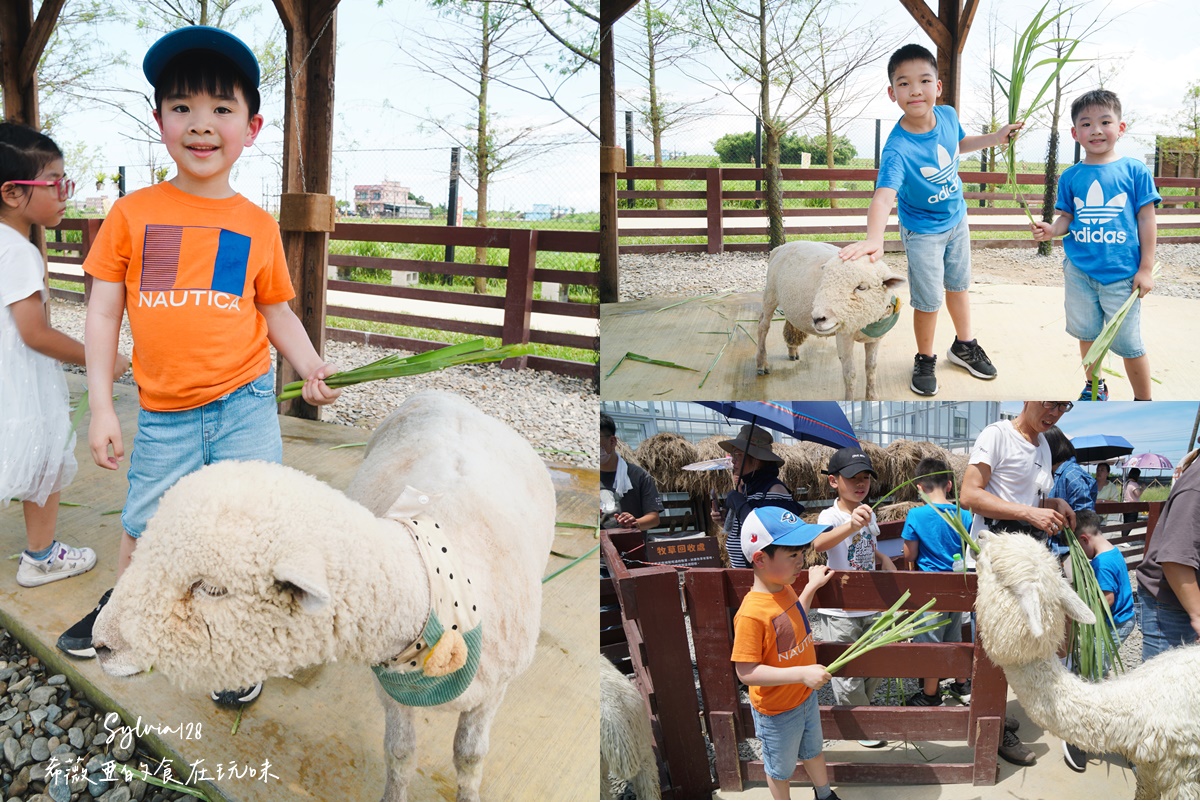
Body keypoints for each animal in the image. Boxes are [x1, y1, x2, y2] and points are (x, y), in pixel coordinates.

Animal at [93, 391, 556, 802]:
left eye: (211, 589)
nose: (101, 644)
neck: (434, 584)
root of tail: (444, 394)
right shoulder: (391, 689)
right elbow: (400, 753)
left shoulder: (492, 693)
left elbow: (470, 757)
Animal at [753, 240, 902, 398]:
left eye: (862, 287)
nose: (817, 318)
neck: (865, 324)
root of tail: (780, 247)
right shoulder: (844, 336)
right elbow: (850, 374)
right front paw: (850, 400)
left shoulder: (875, 339)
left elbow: (871, 368)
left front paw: (872, 397)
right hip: (770, 293)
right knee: (763, 325)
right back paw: (761, 363)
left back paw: (792, 350)